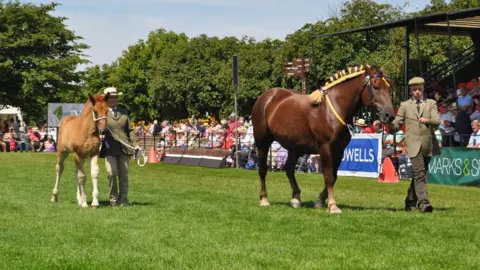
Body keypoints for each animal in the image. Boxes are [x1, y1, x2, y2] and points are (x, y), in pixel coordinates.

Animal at [251, 65, 394, 213]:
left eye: (389, 87)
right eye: (376, 87)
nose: (389, 115)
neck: (334, 108)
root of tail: (266, 96)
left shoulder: (339, 150)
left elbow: (334, 176)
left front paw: (320, 200)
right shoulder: (325, 147)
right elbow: (328, 176)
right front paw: (332, 205)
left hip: (294, 147)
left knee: (289, 169)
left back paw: (295, 198)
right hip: (263, 142)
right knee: (263, 169)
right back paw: (264, 199)